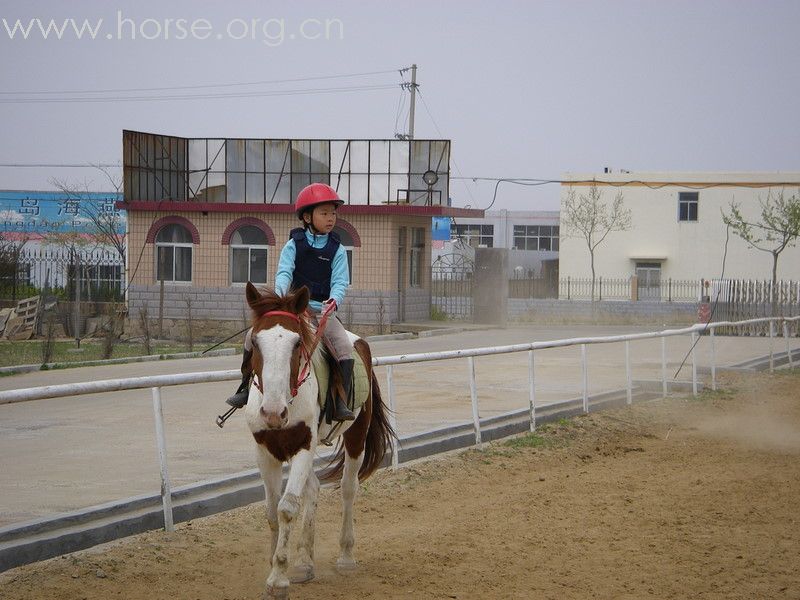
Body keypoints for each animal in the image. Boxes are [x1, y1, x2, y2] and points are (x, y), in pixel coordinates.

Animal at [242, 282, 396, 600]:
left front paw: (279, 578)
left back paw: (346, 557)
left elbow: (287, 508)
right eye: (256, 342)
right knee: (312, 488)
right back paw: (304, 563)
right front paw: (276, 566)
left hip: (356, 435)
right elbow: (272, 511)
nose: (273, 412)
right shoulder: (265, 450)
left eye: (296, 343)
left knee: (348, 488)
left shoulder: (304, 445)